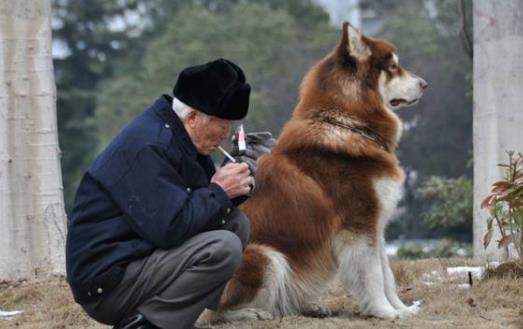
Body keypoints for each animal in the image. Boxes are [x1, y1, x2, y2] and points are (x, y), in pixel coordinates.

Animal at [201, 21, 426, 322]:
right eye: (392, 67)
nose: (424, 84)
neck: (347, 125)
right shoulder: (358, 227)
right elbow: (373, 277)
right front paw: (386, 312)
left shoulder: (375, 228)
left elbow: (387, 274)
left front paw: (401, 309)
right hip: (266, 256)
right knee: (213, 313)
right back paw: (252, 313)